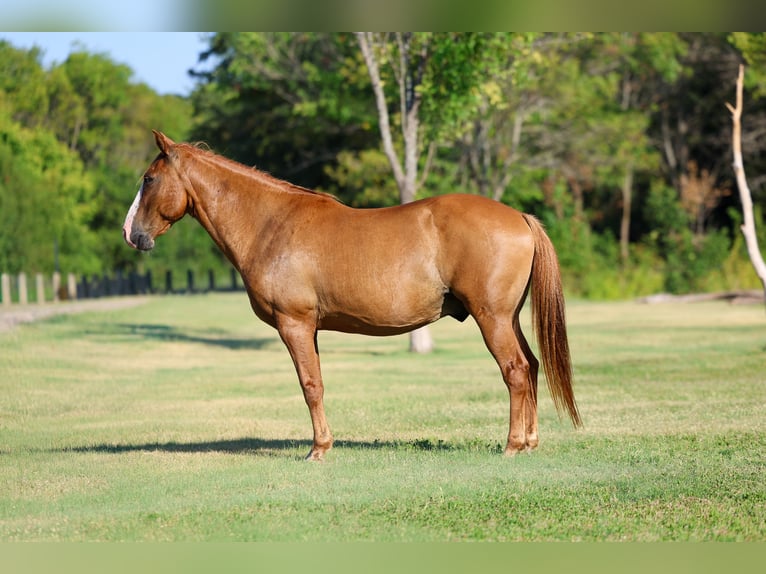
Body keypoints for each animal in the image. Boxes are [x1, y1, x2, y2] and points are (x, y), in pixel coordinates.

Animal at [123, 131, 581, 461]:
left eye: (149, 179)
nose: (131, 234)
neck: (270, 224)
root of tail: (518, 216)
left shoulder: (294, 324)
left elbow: (310, 385)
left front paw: (318, 450)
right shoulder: (311, 329)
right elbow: (319, 383)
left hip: (492, 318)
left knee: (515, 371)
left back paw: (513, 445)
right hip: (509, 318)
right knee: (532, 366)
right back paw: (531, 442)